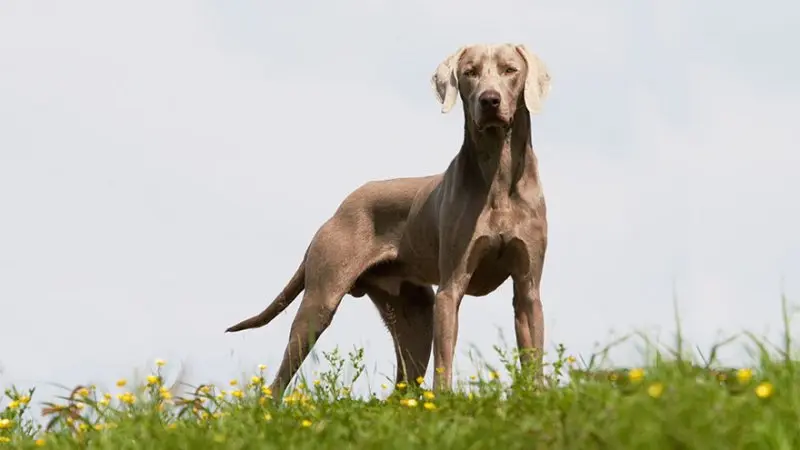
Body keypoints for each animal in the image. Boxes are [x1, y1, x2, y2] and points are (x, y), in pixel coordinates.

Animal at [225, 43, 552, 398]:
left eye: (510, 70)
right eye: (470, 72)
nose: (489, 100)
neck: (499, 177)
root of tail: (338, 210)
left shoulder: (527, 286)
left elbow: (532, 352)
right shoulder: (450, 288)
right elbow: (445, 359)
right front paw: (444, 400)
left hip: (414, 313)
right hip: (321, 300)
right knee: (278, 381)